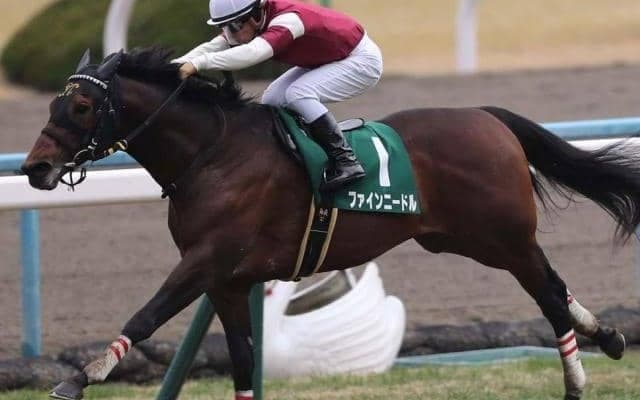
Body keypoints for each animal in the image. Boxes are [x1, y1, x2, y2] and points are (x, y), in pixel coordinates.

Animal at [22, 47, 635, 400]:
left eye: (80, 108)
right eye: (53, 104)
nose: (34, 168)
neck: (214, 154)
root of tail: (487, 117)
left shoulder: (205, 260)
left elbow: (146, 315)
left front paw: (79, 377)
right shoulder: (227, 281)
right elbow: (243, 360)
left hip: (503, 237)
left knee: (549, 294)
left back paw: (577, 382)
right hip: (459, 239)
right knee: (555, 286)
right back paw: (609, 337)